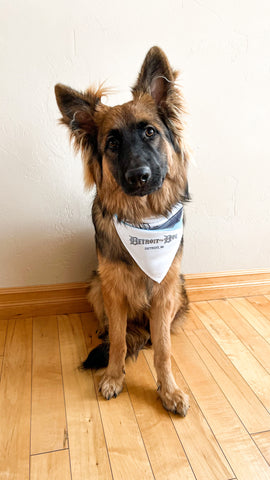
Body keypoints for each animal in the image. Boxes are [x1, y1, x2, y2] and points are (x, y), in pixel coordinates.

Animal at [54, 46, 190, 416]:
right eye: (112, 142)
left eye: (150, 132)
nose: (139, 176)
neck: (143, 219)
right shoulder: (113, 289)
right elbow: (117, 340)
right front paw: (114, 377)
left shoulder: (164, 290)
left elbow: (163, 349)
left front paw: (169, 390)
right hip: (95, 283)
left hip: (180, 289)